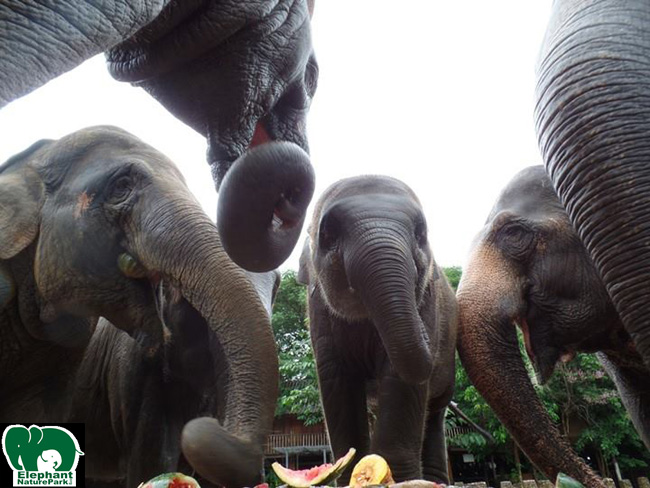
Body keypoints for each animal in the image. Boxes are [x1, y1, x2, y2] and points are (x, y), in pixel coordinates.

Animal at [298, 176, 456, 484]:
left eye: (420, 234)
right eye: (328, 235)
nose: (429, 334)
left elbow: (401, 379)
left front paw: (398, 479)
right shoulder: (318, 311)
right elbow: (337, 378)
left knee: (434, 413)